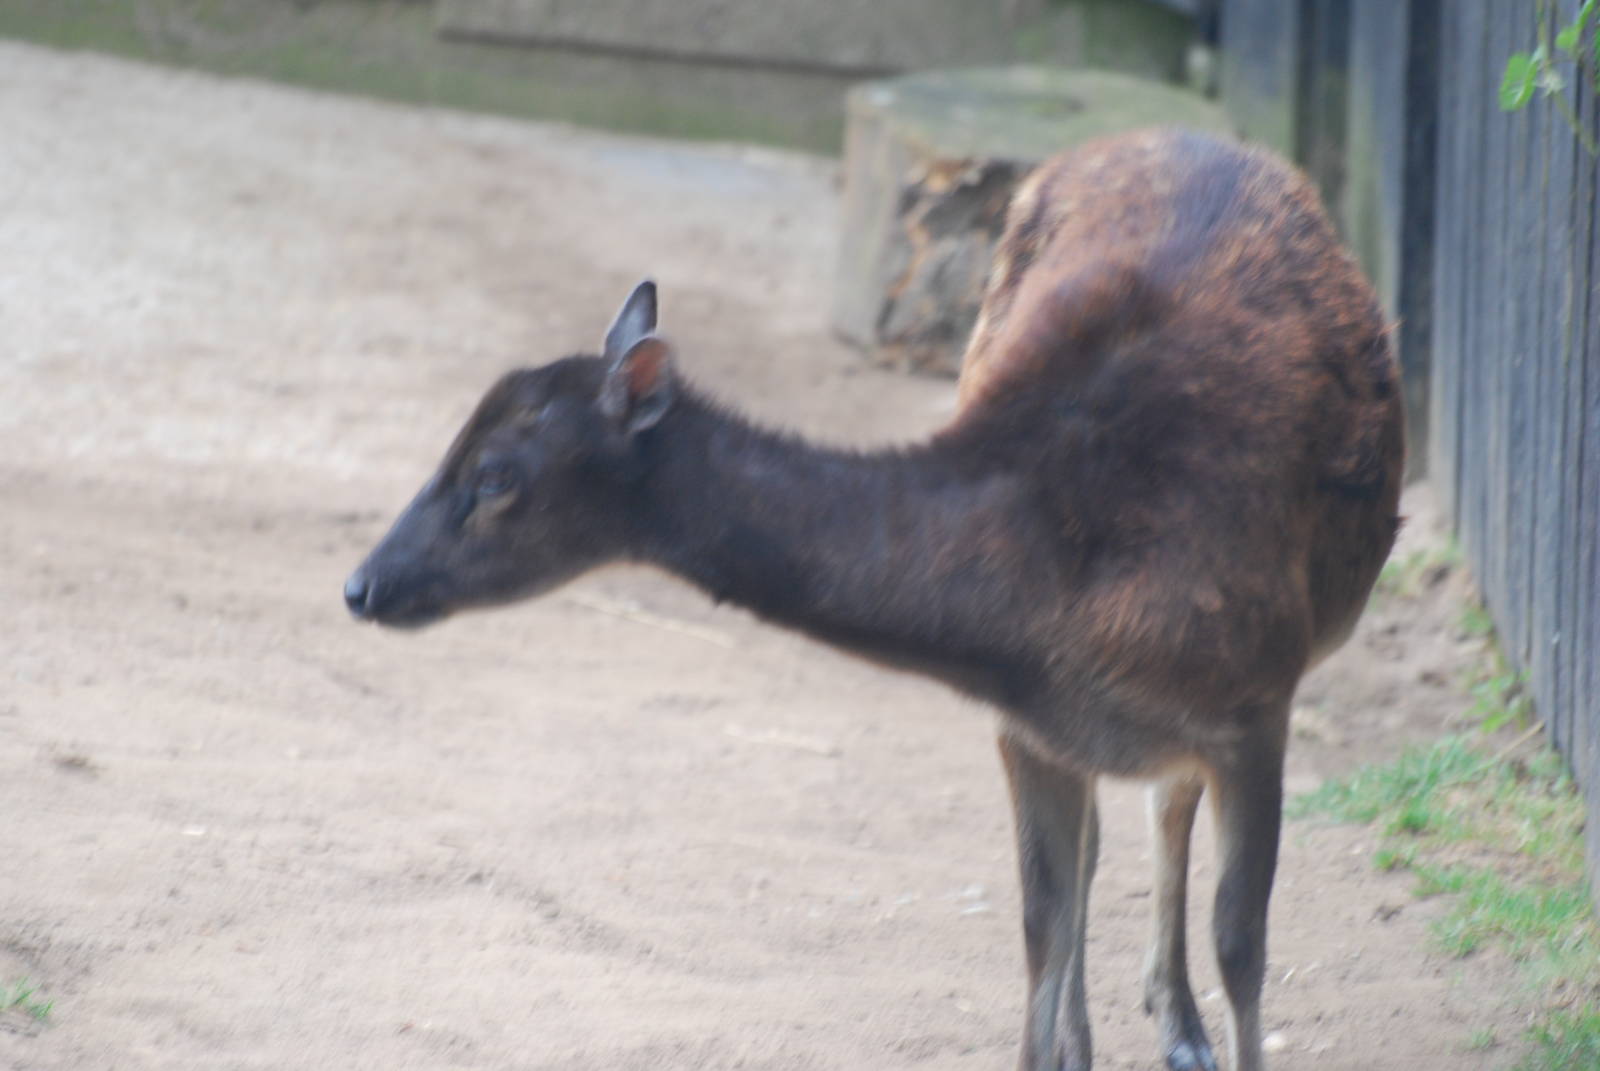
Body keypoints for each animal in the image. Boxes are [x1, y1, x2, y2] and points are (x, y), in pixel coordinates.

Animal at [344, 127, 1404, 1071]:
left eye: (493, 474)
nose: (362, 583)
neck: (1056, 600)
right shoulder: (1026, 724)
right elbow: (1043, 915)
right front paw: (1060, 1046)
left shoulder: (1254, 702)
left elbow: (1242, 941)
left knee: (1167, 808)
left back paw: (1180, 1027)